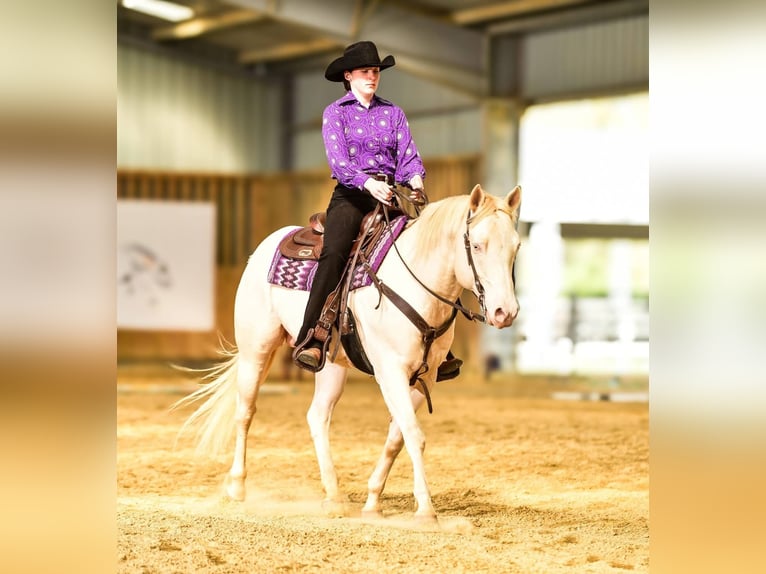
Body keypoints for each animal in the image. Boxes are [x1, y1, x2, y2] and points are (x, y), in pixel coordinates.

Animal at [175, 183, 522, 524]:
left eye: (516, 247)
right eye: (476, 245)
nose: (505, 312)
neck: (414, 284)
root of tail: (266, 246)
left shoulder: (425, 377)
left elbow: (396, 437)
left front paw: (372, 502)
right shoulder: (390, 373)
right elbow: (413, 434)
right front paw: (425, 509)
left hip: (330, 365)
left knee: (317, 416)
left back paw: (334, 497)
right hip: (255, 350)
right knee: (245, 412)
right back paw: (237, 487)